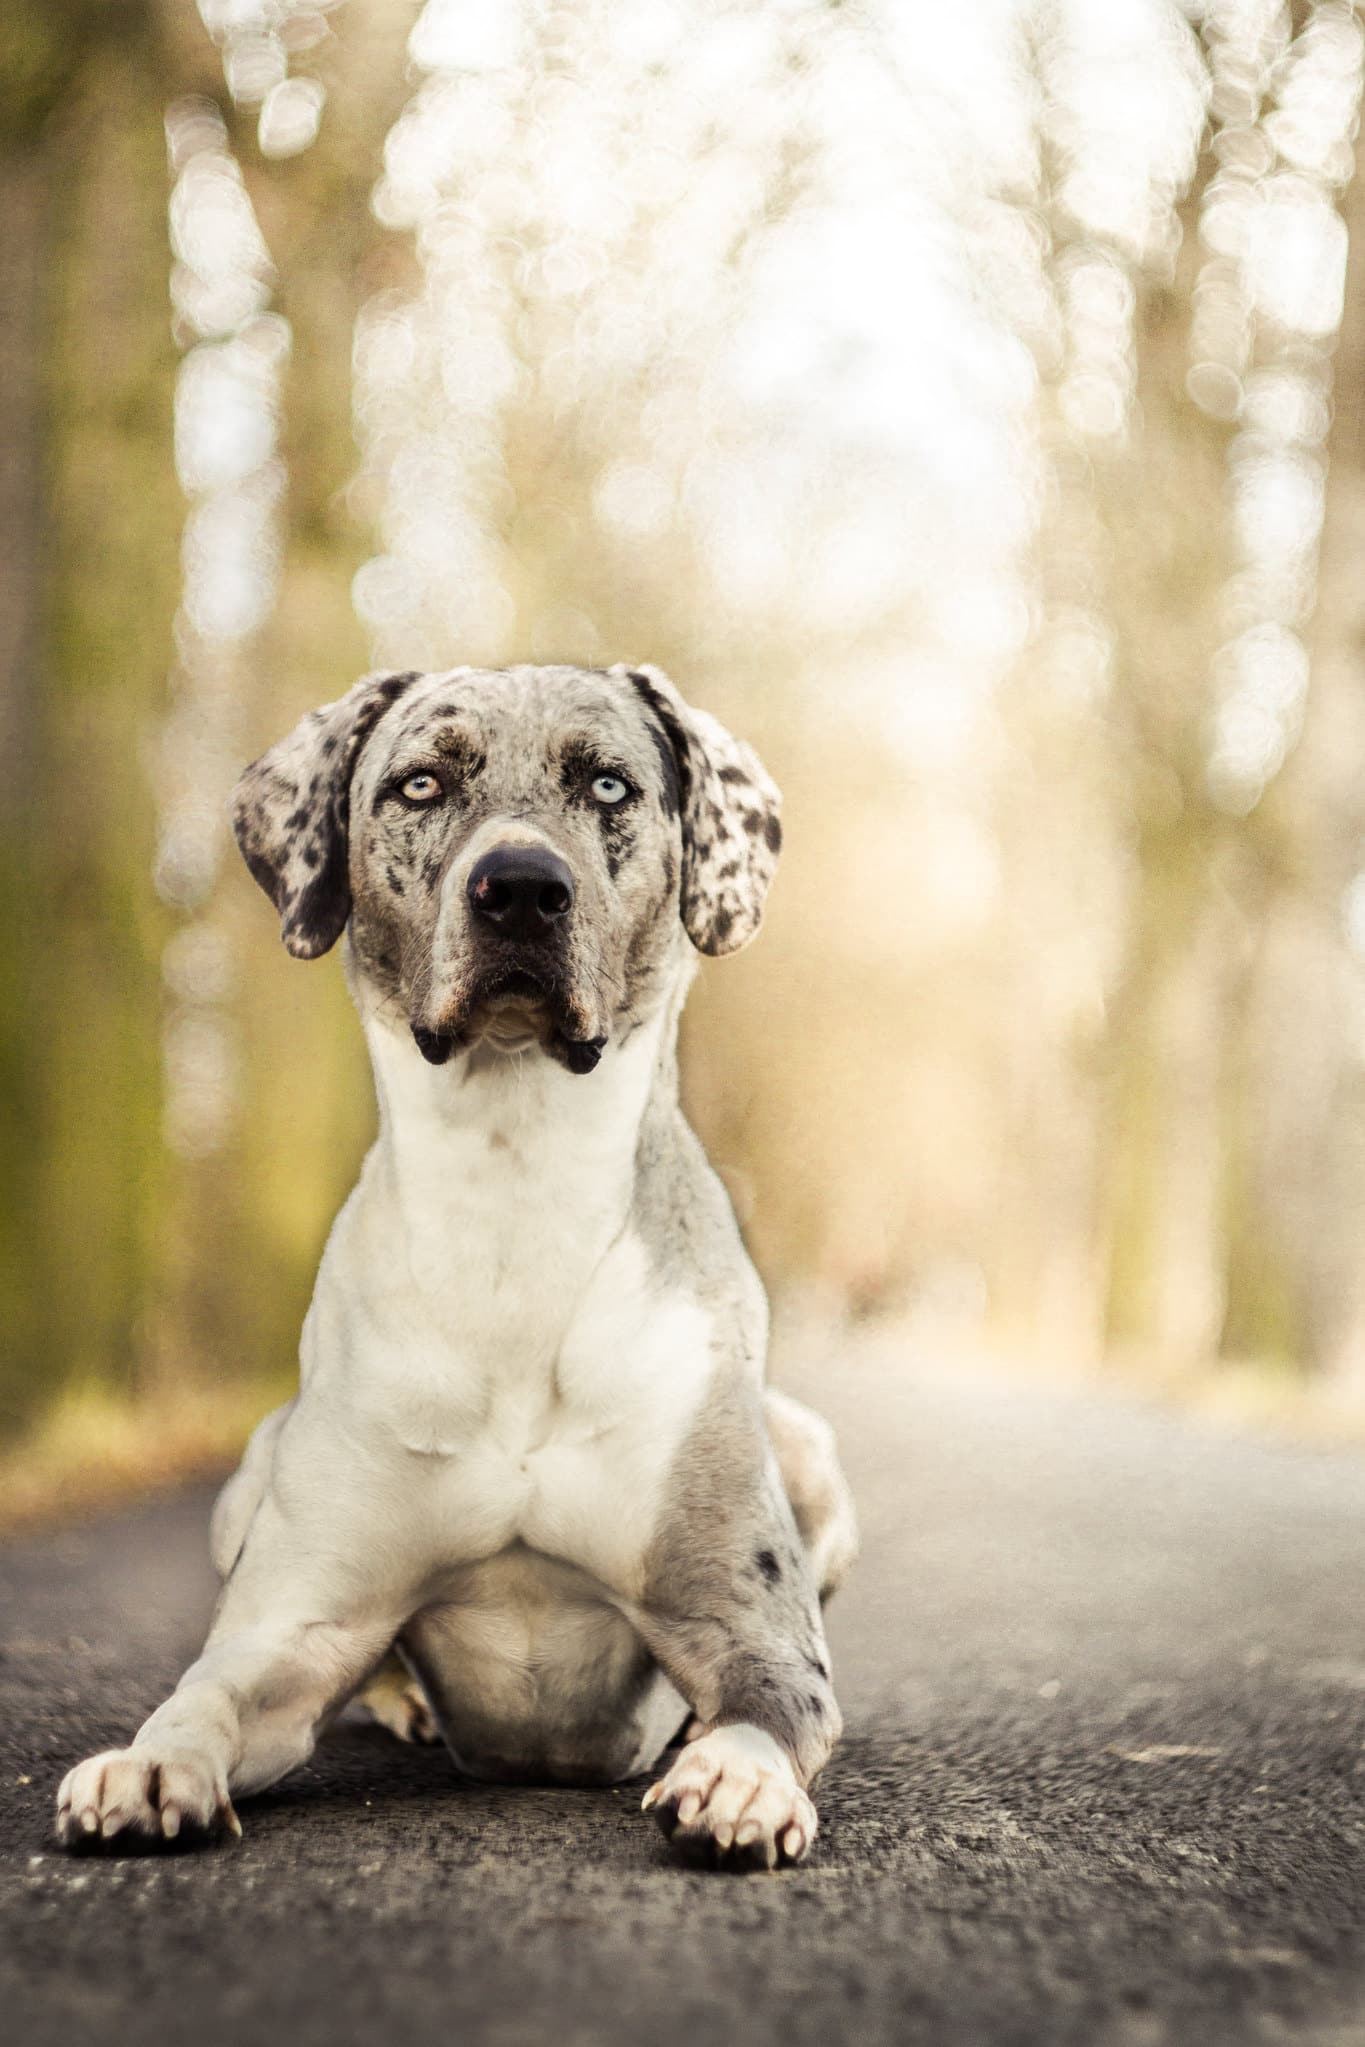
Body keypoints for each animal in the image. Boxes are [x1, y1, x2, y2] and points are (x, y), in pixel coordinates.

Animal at [61, 659, 863, 1875]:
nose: (521, 886)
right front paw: (149, 1763)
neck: (514, 1189)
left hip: (808, 1447)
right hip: (252, 1466)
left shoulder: (752, 1624)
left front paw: (735, 1775)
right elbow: (205, 1693)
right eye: (421, 782)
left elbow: (768, 1703)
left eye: (610, 784)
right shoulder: (295, 1624)